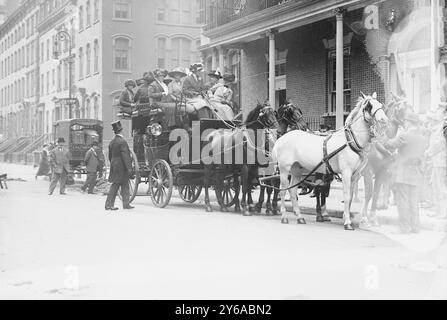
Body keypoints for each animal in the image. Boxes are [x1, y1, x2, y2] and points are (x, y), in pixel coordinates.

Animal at [272, 92, 390, 230]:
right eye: (369, 106)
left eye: (380, 104)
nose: (384, 120)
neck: (351, 140)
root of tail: (282, 138)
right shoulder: (346, 172)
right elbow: (346, 195)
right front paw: (347, 223)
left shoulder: (355, 175)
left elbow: (350, 197)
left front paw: (348, 218)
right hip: (284, 169)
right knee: (282, 190)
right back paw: (284, 216)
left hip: (296, 169)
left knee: (292, 190)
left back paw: (300, 217)